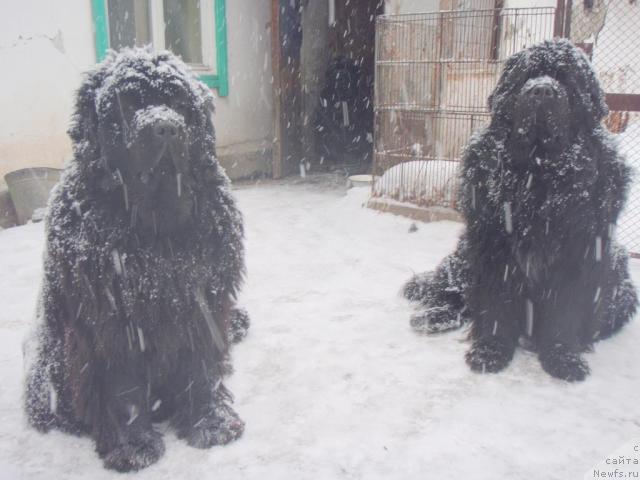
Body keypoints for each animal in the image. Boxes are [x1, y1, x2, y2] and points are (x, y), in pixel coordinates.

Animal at [22, 49, 249, 472]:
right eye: (127, 105)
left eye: (178, 103)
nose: (166, 128)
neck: (156, 231)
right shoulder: (112, 319)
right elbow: (121, 387)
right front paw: (133, 446)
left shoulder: (202, 303)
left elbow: (200, 367)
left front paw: (211, 423)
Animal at [404, 38, 636, 382]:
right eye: (526, 76)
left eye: (566, 78)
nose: (541, 91)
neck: (538, 176)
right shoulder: (493, 247)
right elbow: (495, 304)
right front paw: (489, 351)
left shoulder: (581, 251)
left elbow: (565, 312)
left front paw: (563, 358)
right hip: (464, 255)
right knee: (453, 295)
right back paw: (432, 317)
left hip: (620, 278)